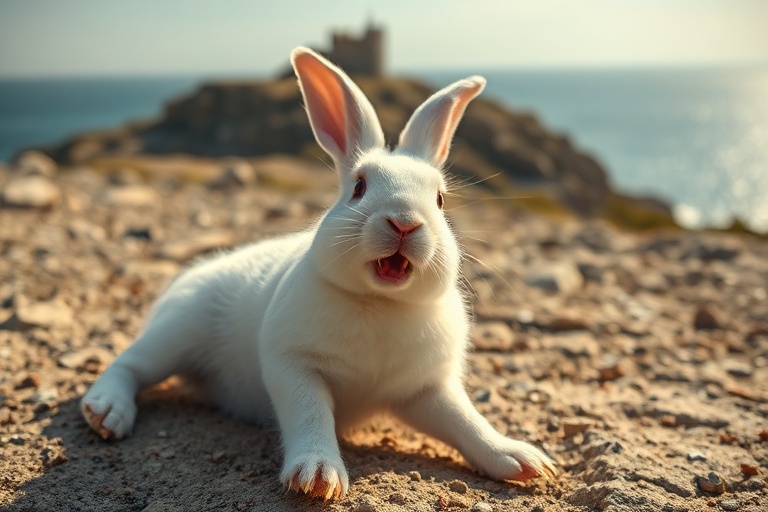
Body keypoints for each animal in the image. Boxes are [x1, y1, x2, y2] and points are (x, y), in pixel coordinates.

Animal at [80, 46, 557, 500]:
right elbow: (310, 417)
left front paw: (523, 461)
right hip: (177, 332)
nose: (404, 222)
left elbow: (466, 422)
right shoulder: (294, 367)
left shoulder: (427, 389)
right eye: (359, 187)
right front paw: (316, 476)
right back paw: (106, 412)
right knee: (129, 365)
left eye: (440, 199)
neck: (380, 302)